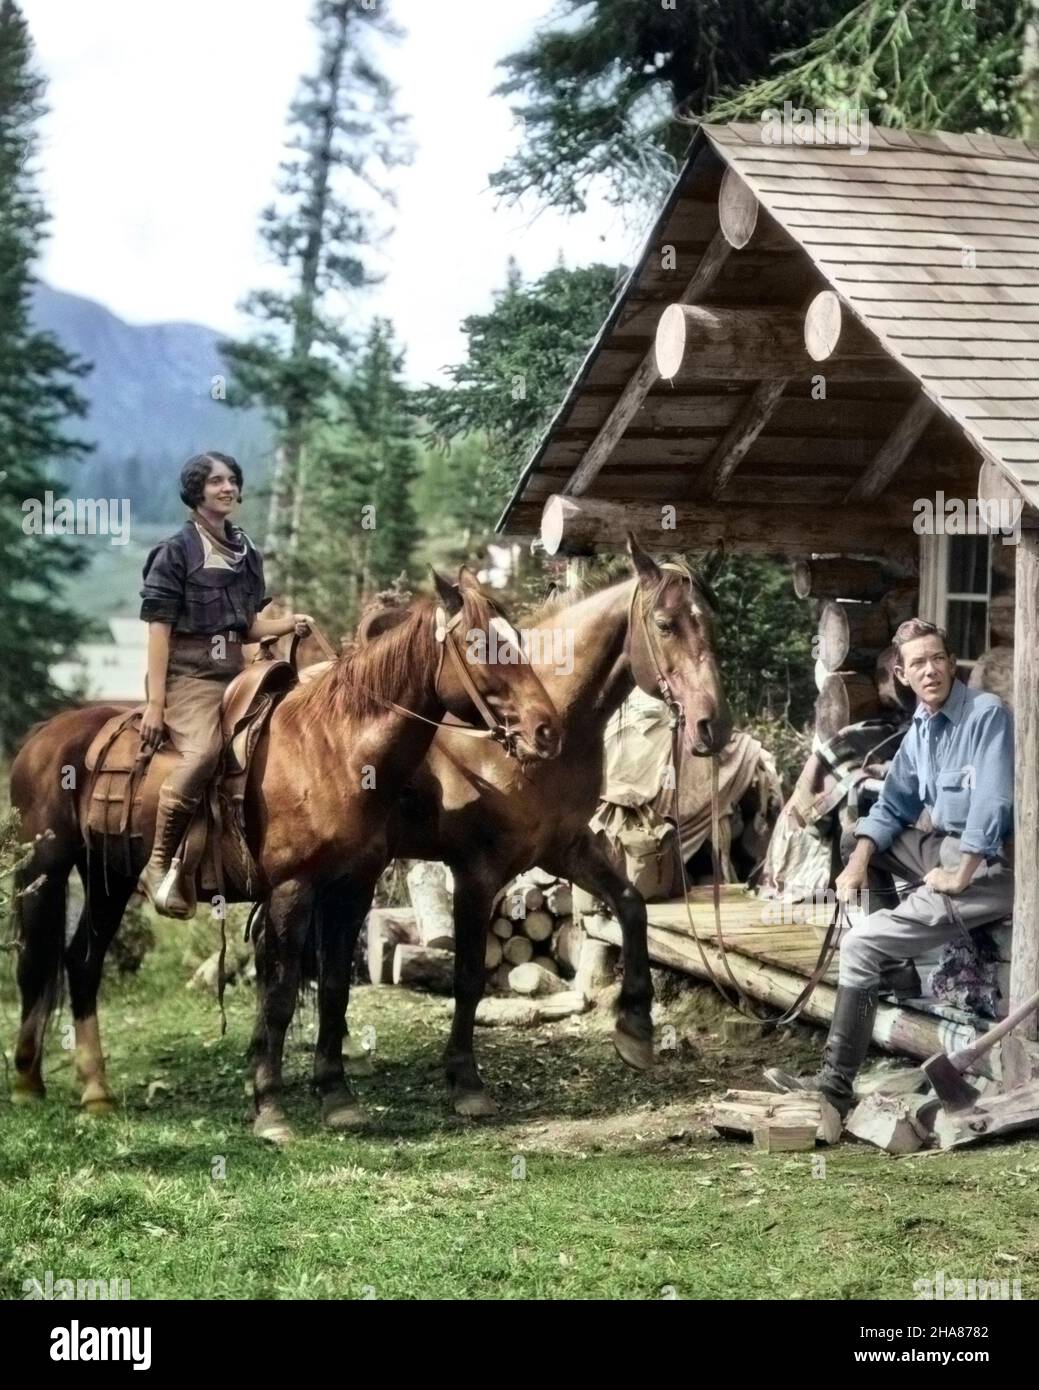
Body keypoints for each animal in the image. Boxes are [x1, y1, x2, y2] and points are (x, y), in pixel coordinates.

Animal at [10, 567, 561, 1139]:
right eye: (480, 644)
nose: (546, 730)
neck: (335, 750)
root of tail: (41, 736)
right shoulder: (292, 890)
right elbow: (278, 994)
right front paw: (271, 1108)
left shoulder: (351, 889)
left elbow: (335, 989)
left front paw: (337, 1097)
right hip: (45, 870)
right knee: (34, 963)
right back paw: (28, 1082)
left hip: (110, 877)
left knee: (82, 962)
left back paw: (96, 1090)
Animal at [322, 530, 728, 1117]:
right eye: (665, 624)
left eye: (710, 622)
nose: (712, 726)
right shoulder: (477, 872)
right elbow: (469, 975)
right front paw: (465, 1079)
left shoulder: (566, 848)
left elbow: (631, 906)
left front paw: (635, 1028)